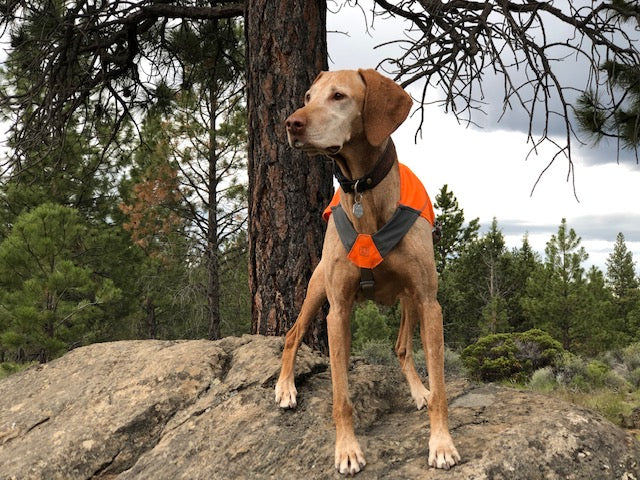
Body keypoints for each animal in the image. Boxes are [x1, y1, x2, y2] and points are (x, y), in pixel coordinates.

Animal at [276, 69, 460, 474]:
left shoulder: (429, 302)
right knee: (293, 334)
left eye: (339, 96)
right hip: (316, 288)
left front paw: (441, 443)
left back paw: (419, 391)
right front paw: (347, 450)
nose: (291, 123)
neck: (364, 192)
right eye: (308, 96)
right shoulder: (338, 310)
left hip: (409, 300)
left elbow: (441, 387)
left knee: (402, 347)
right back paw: (285, 388)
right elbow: (340, 396)